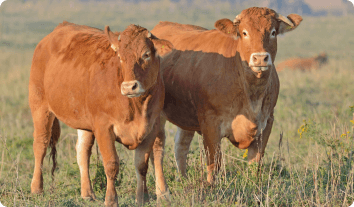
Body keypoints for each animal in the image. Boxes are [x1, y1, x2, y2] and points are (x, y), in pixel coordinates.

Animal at [29, 21, 174, 206]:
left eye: (146, 55)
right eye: (120, 57)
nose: (129, 87)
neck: (137, 106)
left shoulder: (151, 127)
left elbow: (142, 164)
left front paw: (143, 198)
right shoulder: (104, 127)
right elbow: (111, 164)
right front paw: (111, 200)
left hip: (84, 122)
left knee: (82, 151)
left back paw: (87, 193)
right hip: (40, 108)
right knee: (40, 145)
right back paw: (37, 189)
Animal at [151, 7, 302, 184]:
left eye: (273, 32)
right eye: (244, 33)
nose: (260, 58)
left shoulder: (267, 122)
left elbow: (255, 165)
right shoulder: (210, 123)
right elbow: (214, 164)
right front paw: (211, 187)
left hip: (185, 114)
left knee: (180, 146)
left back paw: (183, 180)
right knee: (158, 151)